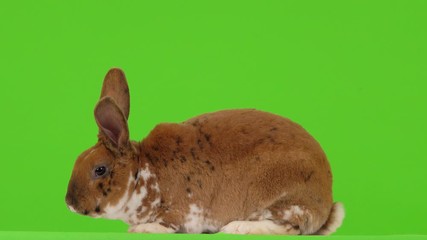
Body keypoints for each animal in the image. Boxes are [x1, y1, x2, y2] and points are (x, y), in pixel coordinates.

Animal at [65, 67, 344, 234]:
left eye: (100, 170)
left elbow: (165, 225)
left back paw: (237, 228)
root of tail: (326, 200)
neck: (143, 173)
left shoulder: (180, 212)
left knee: (289, 228)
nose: (69, 203)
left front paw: (141, 230)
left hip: (282, 196)